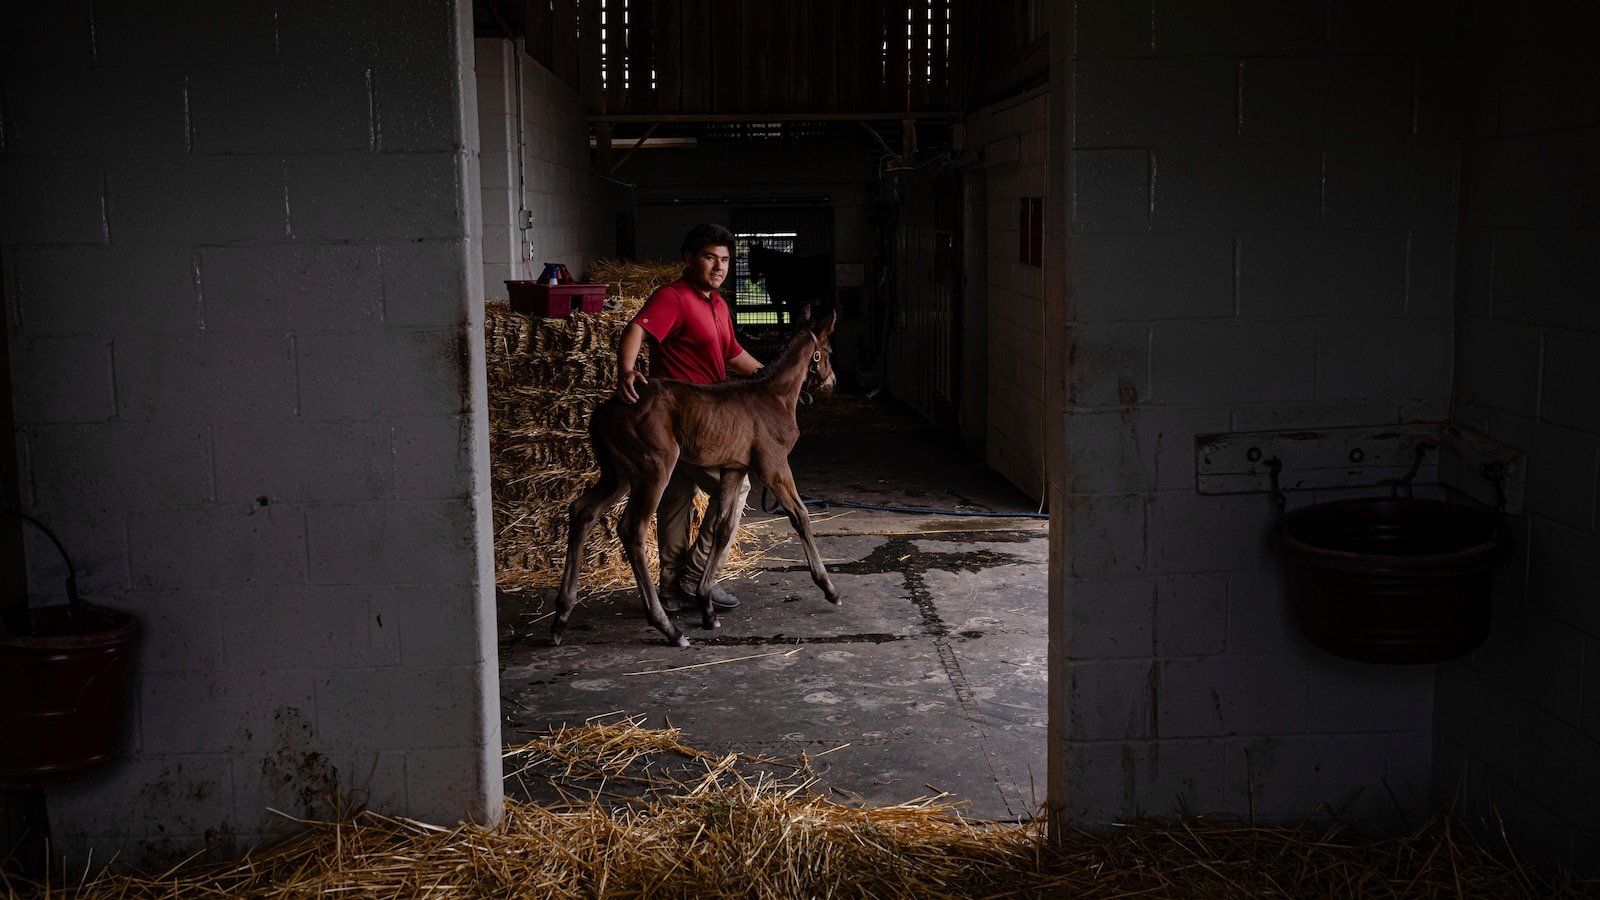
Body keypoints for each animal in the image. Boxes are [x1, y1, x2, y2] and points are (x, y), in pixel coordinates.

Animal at [553, 310, 842, 647]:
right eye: (829, 351)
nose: (832, 382)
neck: (774, 397)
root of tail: (608, 405)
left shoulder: (734, 469)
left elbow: (723, 527)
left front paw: (706, 605)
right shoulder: (774, 467)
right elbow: (800, 515)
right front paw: (829, 588)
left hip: (620, 474)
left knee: (582, 511)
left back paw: (561, 616)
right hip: (654, 467)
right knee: (632, 529)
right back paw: (667, 627)